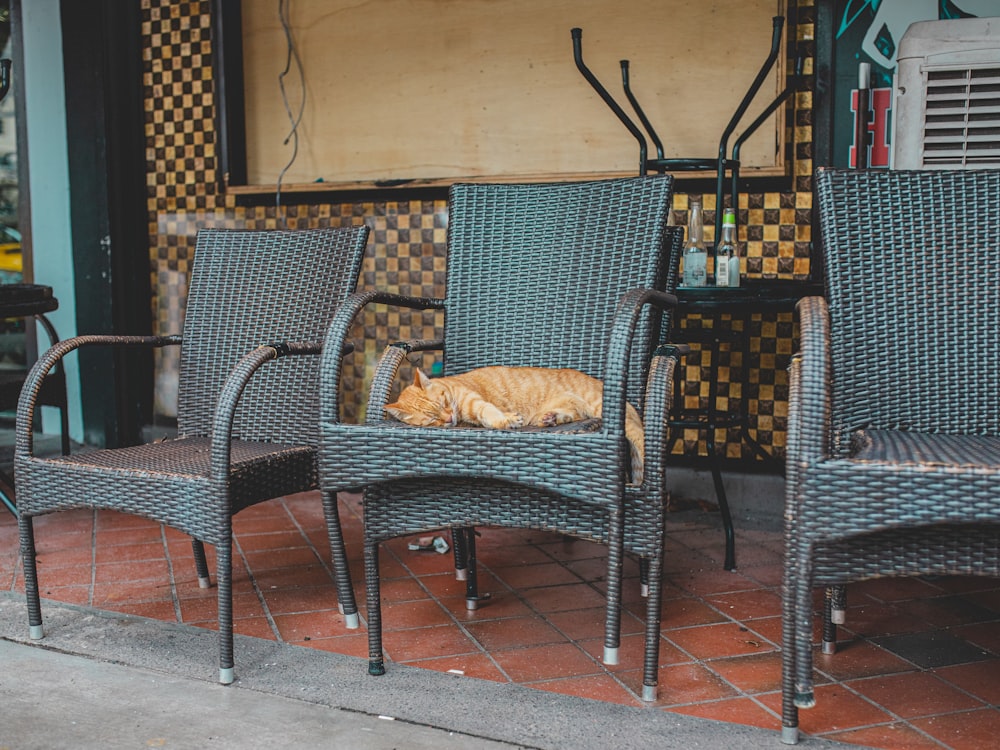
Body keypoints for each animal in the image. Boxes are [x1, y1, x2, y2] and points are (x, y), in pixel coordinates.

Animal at [382, 368, 648, 484]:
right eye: (433, 420)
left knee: (639, 435)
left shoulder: (473, 401)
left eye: (444, 402)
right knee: (571, 413)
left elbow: (489, 412)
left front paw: (506, 419)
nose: (448, 420)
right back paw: (551, 418)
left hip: (604, 410)